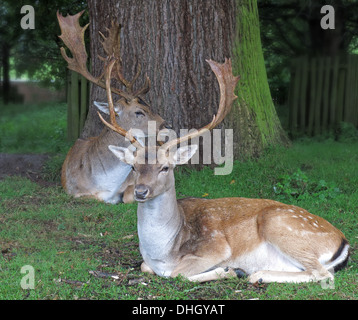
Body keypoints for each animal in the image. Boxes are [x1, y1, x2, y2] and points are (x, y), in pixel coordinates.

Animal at [56, 11, 169, 205]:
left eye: (149, 104)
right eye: (139, 111)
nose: (165, 124)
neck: (107, 182)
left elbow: (128, 196)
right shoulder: (74, 191)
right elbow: (99, 198)